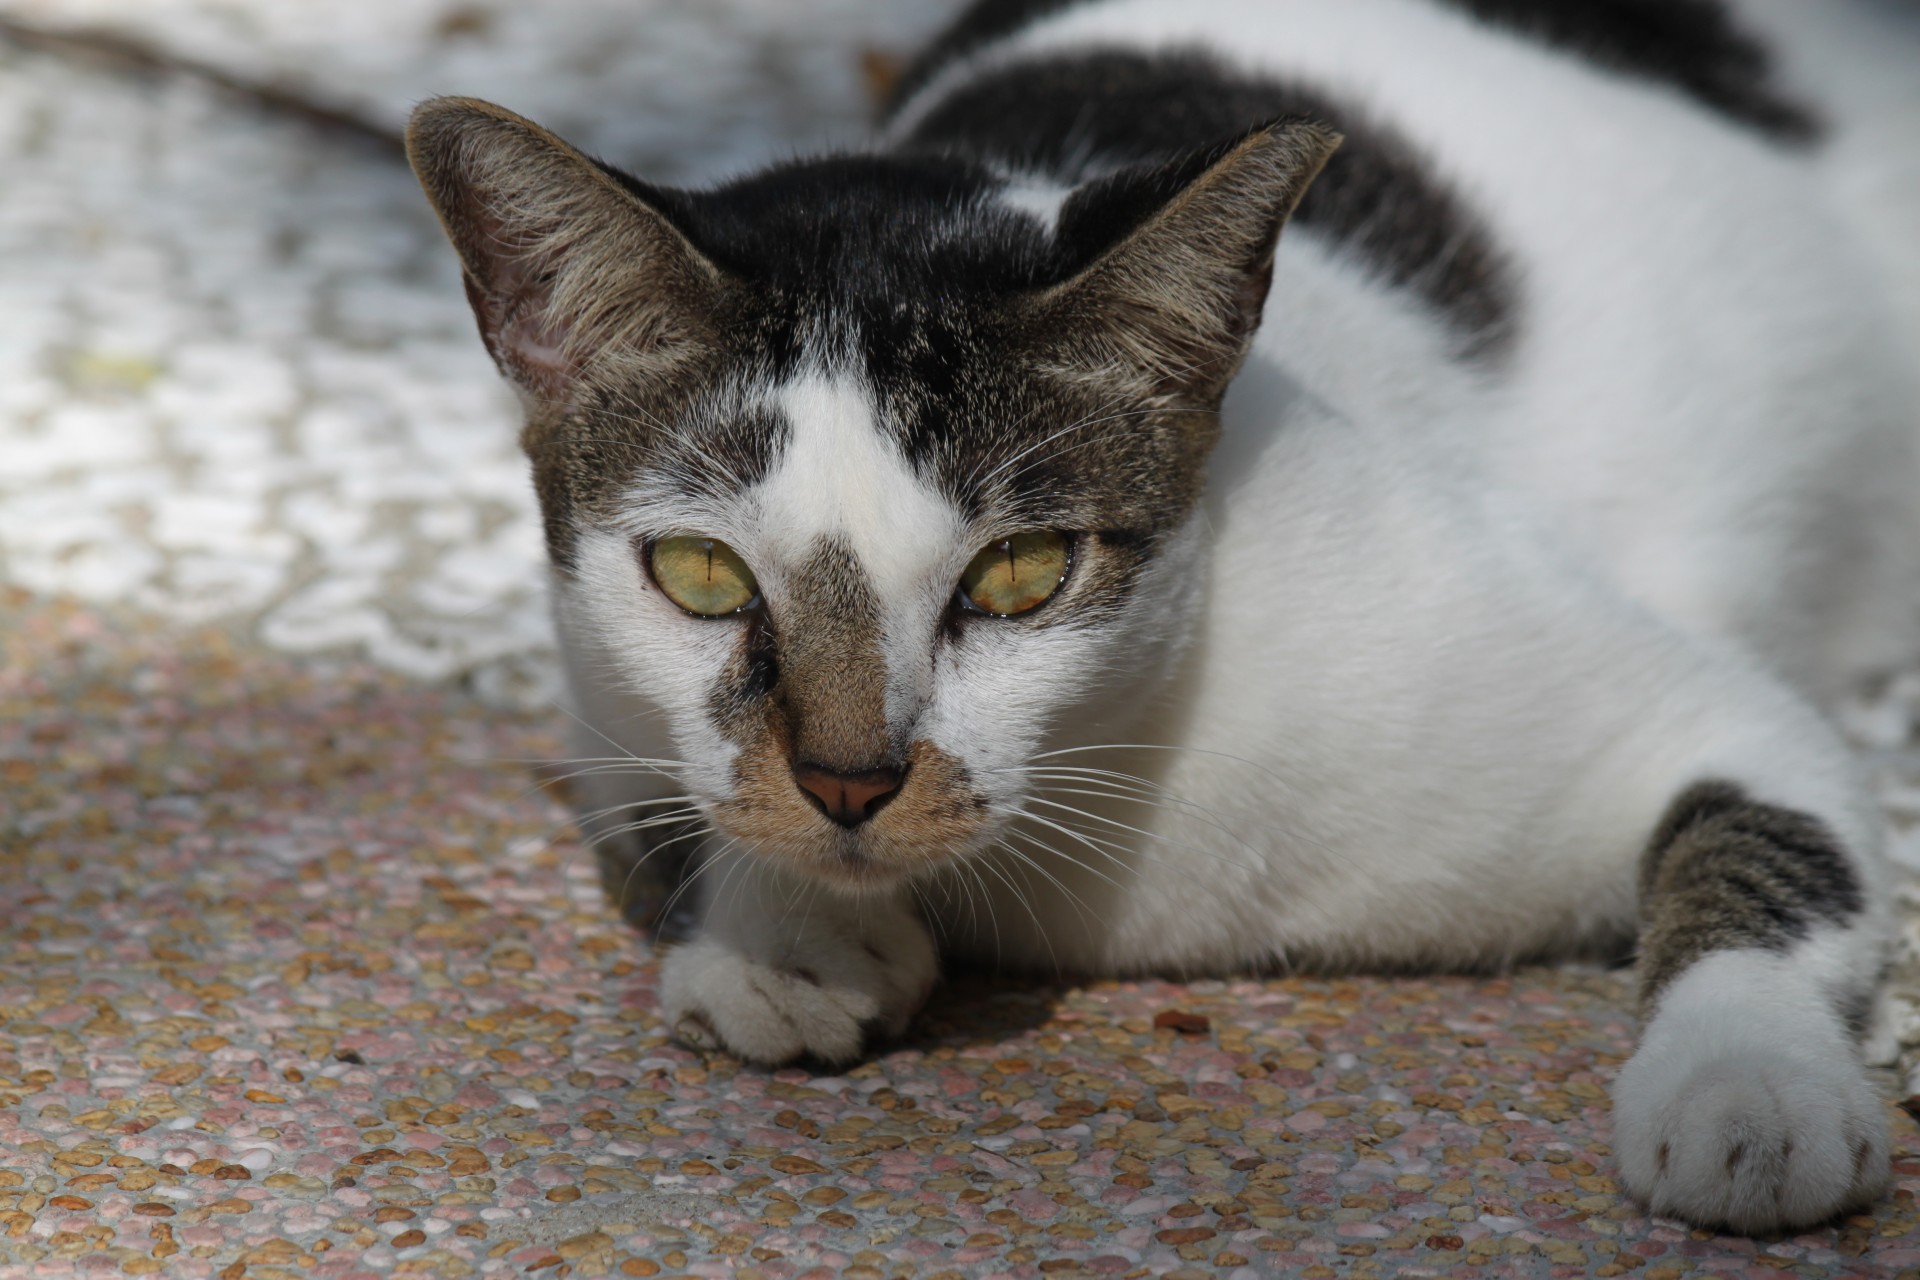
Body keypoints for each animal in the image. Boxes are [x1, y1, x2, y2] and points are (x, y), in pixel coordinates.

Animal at [412, 0, 1920, 1243]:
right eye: (703, 576)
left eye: (1021, 572)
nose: (848, 780)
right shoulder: (599, 711)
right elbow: (672, 808)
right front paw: (778, 931)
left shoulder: (1697, 708)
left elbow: (1763, 840)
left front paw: (1748, 1087)